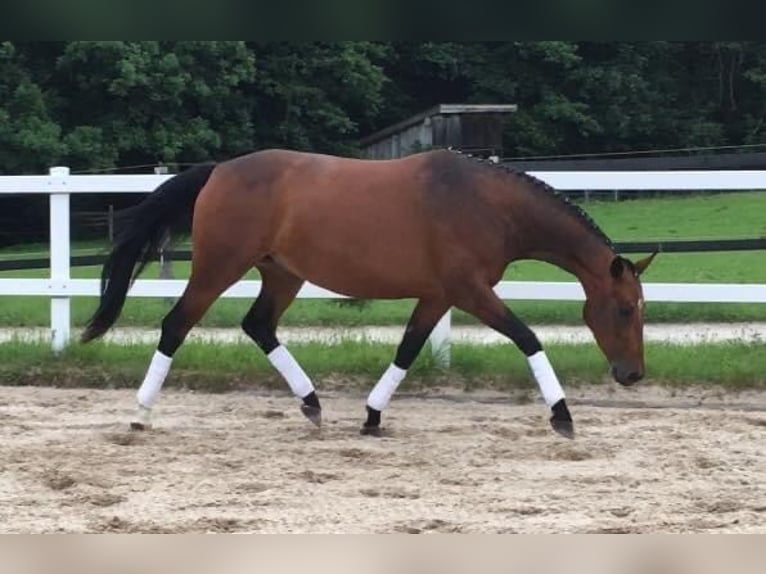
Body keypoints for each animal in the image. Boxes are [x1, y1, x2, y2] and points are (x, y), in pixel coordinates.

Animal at [84, 146, 660, 438]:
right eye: (624, 309)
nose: (632, 375)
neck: (485, 202)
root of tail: (219, 170)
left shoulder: (438, 296)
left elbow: (407, 349)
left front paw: (372, 417)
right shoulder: (471, 291)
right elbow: (528, 338)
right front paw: (562, 415)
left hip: (282, 273)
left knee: (258, 325)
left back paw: (313, 404)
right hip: (219, 266)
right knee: (176, 324)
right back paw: (140, 416)